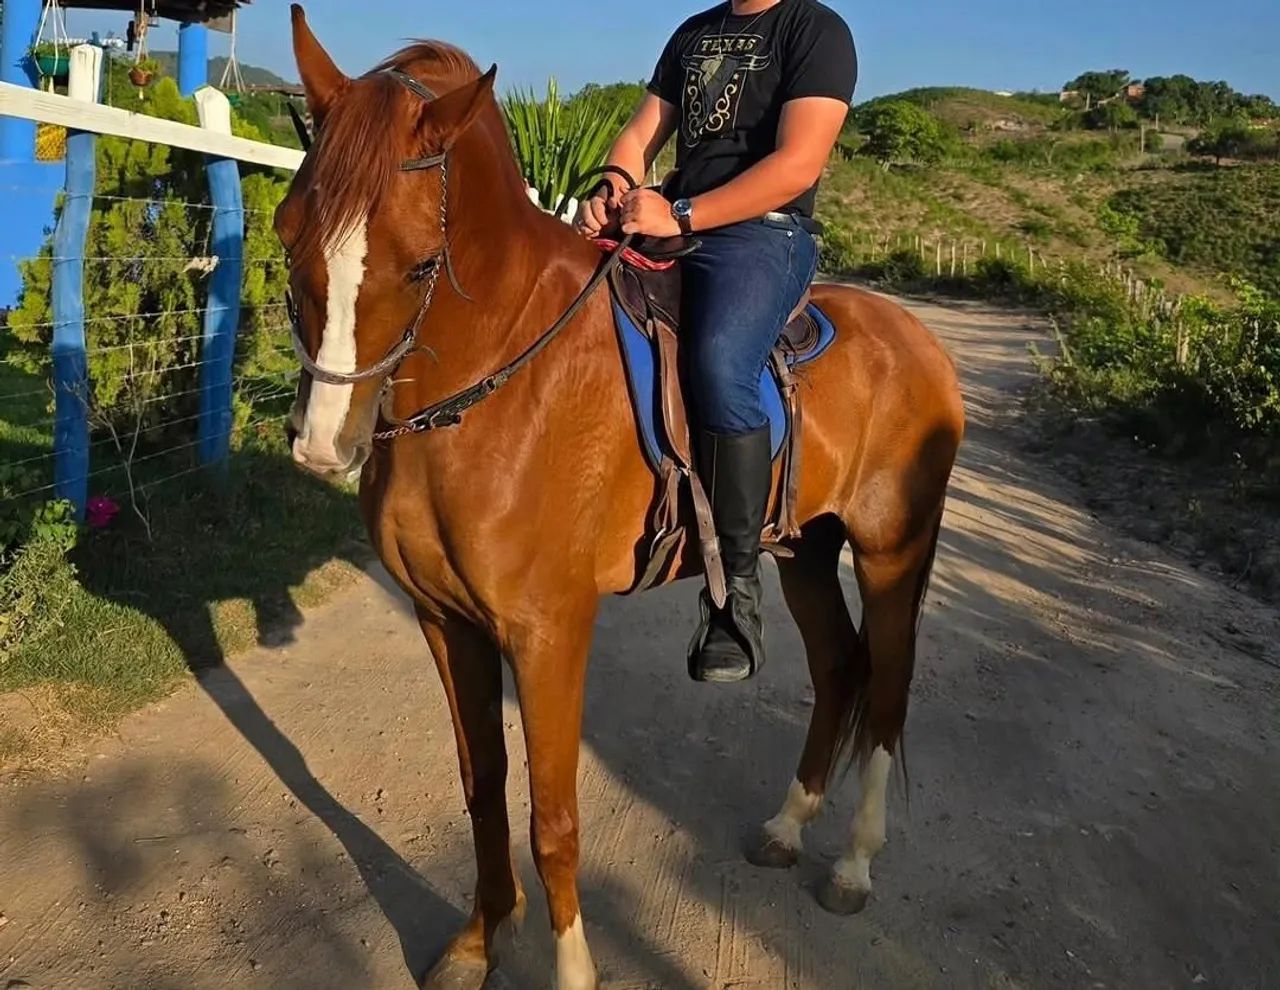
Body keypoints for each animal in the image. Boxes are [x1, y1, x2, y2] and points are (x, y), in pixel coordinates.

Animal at [277, 6, 964, 987]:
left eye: (418, 265)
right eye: (289, 233)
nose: (321, 444)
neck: (498, 381)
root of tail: (918, 341)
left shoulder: (550, 631)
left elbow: (553, 821)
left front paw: (567, 967)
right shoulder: (447, 622)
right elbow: (483, 788)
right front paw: (477, 944)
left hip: (891, 554)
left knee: (891, 690)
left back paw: (854, 864)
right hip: (805, 550)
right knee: (842, 670)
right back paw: (789, 827)